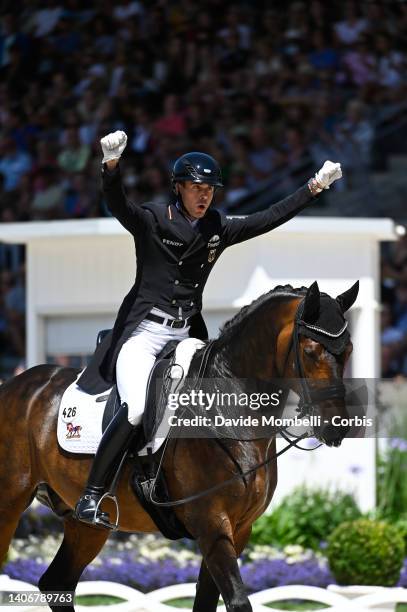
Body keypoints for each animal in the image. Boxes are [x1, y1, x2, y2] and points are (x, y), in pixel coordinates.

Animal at [0, 280, 358, 608]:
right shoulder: (211, 525)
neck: (227, 408)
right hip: (10, 503)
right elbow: (238, 601)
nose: (335, 426)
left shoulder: (239, 529)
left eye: (349, 350)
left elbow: (207, 600)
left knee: (57, 582)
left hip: (85, 525)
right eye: (310, 351)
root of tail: (15, 383)